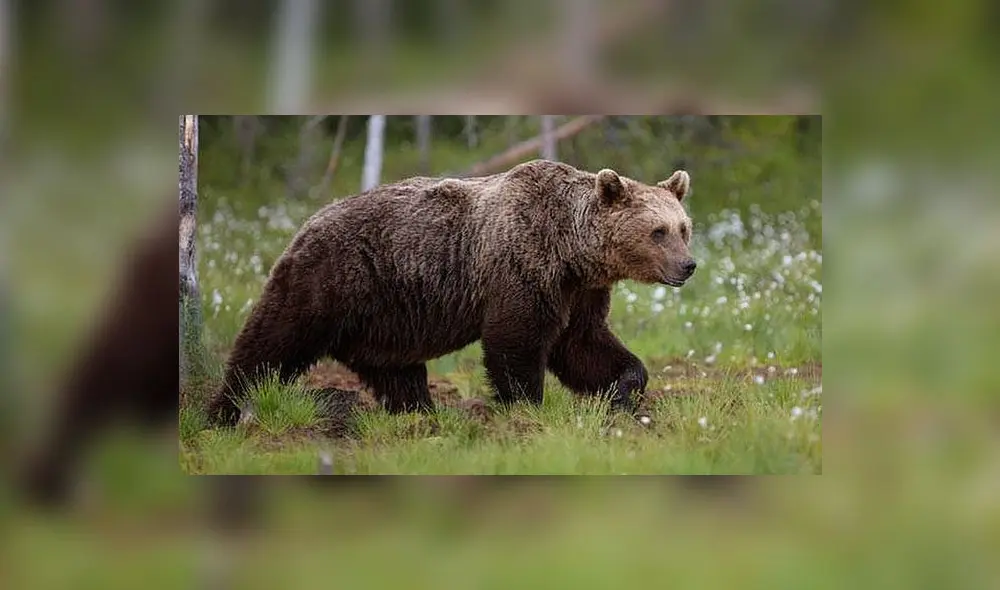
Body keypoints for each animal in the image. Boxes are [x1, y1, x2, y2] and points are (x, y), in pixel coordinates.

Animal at [206, 159, 696, 427]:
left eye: (683, 228)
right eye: (657, 232)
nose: (688, 266)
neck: (571, 250)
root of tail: (308, 220)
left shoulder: (579, 291)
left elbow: (585, 345)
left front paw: (624, 391)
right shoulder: (521, 267)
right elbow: (515, 342)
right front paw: (525, 408)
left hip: (386, 317)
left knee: (396, 371)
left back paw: (419, 414)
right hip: (330, 278)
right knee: (274, 338)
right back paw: (223, 410)